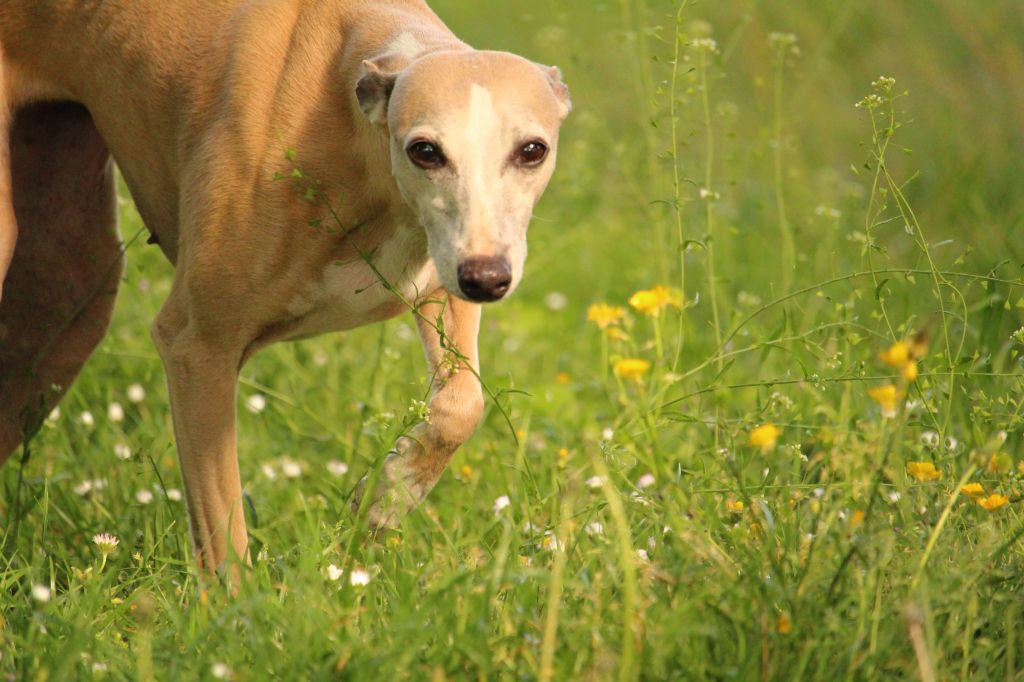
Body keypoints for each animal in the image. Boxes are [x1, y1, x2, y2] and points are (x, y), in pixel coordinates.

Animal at [0, 0, 569, 573]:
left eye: (532, 150)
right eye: (425, 150)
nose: (486, 279)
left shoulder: (442, 280)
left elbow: (461, 406)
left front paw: (386, 499)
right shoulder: (197, 346)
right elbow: (223, 537)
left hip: (63, 302)